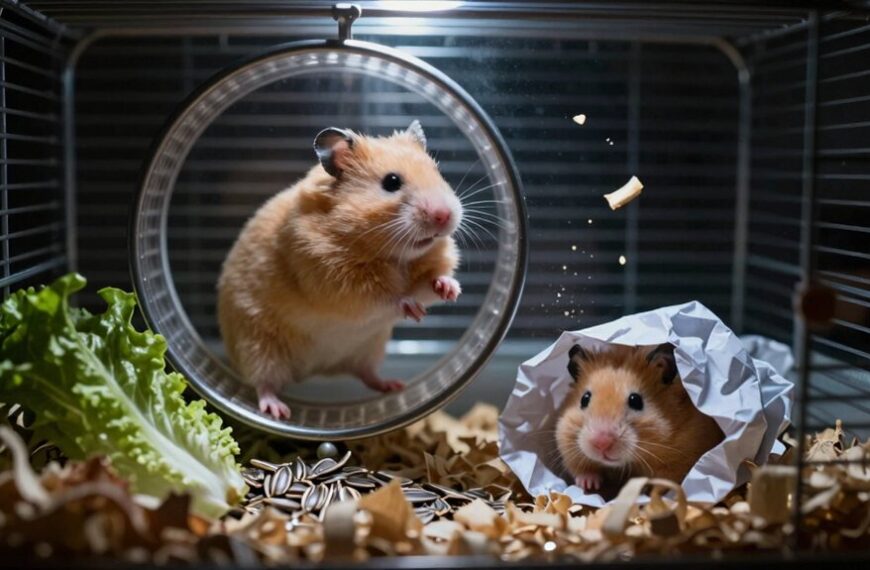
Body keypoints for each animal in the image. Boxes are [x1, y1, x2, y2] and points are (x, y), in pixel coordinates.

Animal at [217, 121, 463, 419]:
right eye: (392, 182)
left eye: (438, 172)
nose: (444, 215)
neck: (395, 256)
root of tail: (315, 370)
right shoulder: (334, 277)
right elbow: (384, 296)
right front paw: (411, 307)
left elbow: (429, 283)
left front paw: (450, 289)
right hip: (258, 345)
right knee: (264, 382)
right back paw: (278, 410)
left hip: (369, 347)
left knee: (366, 373)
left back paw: (393, 386)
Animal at [555, 343, 724, 497]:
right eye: (584, 399)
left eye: (636, 401)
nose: (601, 443)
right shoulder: (567, 442)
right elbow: (581, 468)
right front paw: (589, 484)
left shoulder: (681, 459)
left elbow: (664, 483)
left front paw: (647, 493)